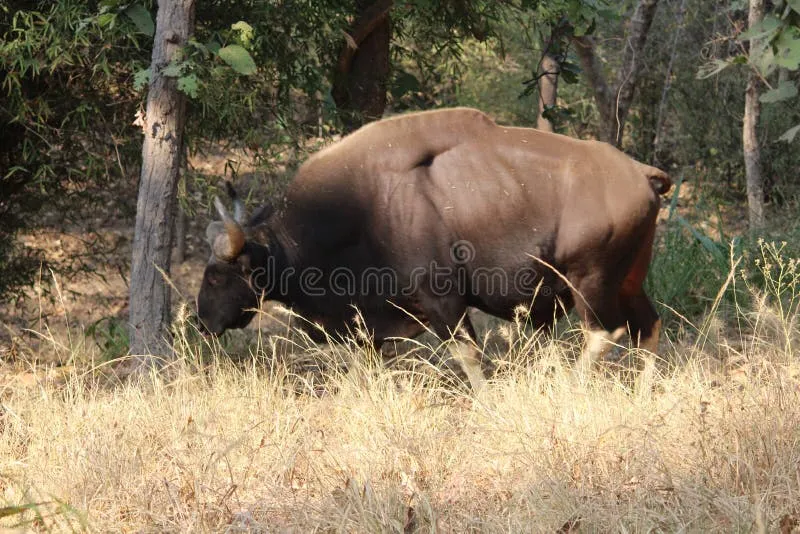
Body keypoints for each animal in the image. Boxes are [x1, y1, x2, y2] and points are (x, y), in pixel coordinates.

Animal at [198, 109, 668, 392]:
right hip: (629, 279)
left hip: (590, 279)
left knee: (605, 333)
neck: (363, 208)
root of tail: (640, 173)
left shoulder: (444, 302)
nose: (201, 322)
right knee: (648, 326)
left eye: (217, 275)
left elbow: (469, 357)